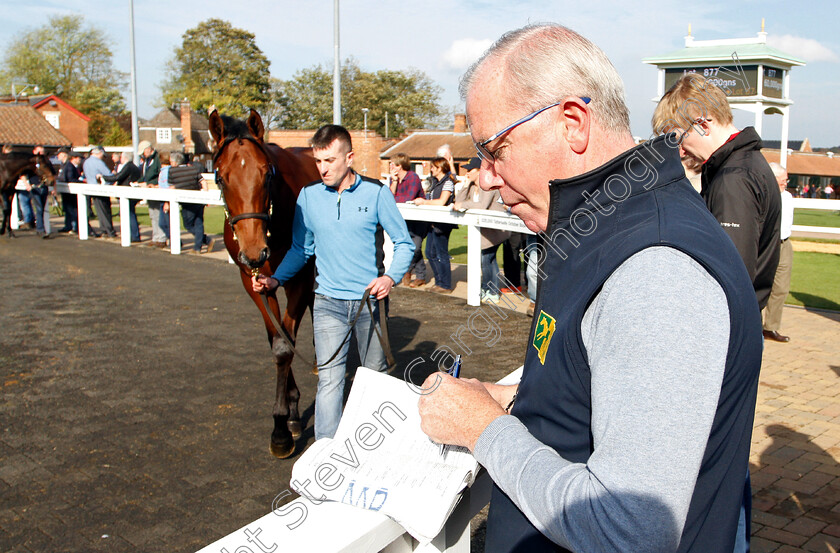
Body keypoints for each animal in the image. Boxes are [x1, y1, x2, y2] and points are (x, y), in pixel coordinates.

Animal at [208, 109, 320, 458]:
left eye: (266, 174)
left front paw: (281, 429)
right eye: (221, 176)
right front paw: (290, 417)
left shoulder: (299, 278)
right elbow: (279, 339)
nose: (255, 251)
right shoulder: (254, 281)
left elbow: (285, 346)